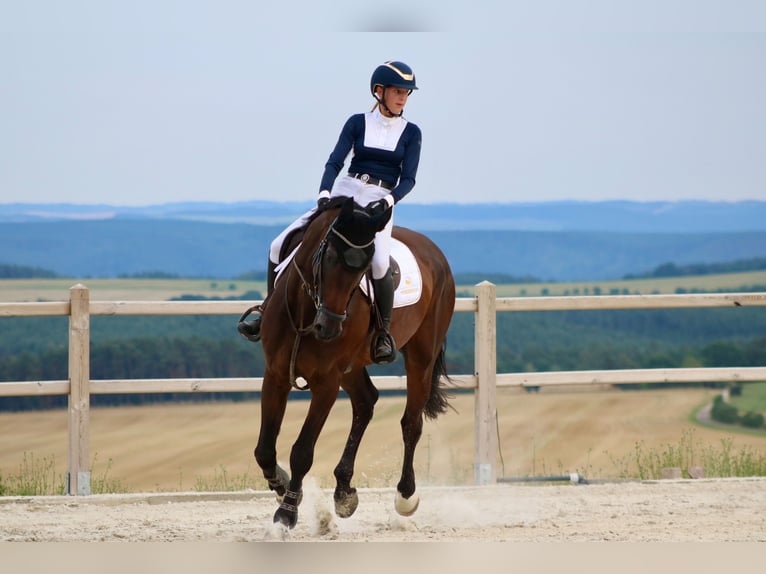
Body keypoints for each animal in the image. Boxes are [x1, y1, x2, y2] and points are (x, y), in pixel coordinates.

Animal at [253, 196, 455, 529]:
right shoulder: (276, 374)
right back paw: (344, 492)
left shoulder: (326, 384)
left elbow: (302, 452)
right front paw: (281, 486)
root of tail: (434, 252)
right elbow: (265, 449)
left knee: (411, 422)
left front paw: (287, 511)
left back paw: (405, 496)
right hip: (352, 367)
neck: (306, 310)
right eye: (328, 257)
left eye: (364, 270)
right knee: (365, 402)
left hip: (421, 358)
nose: (329, 327)